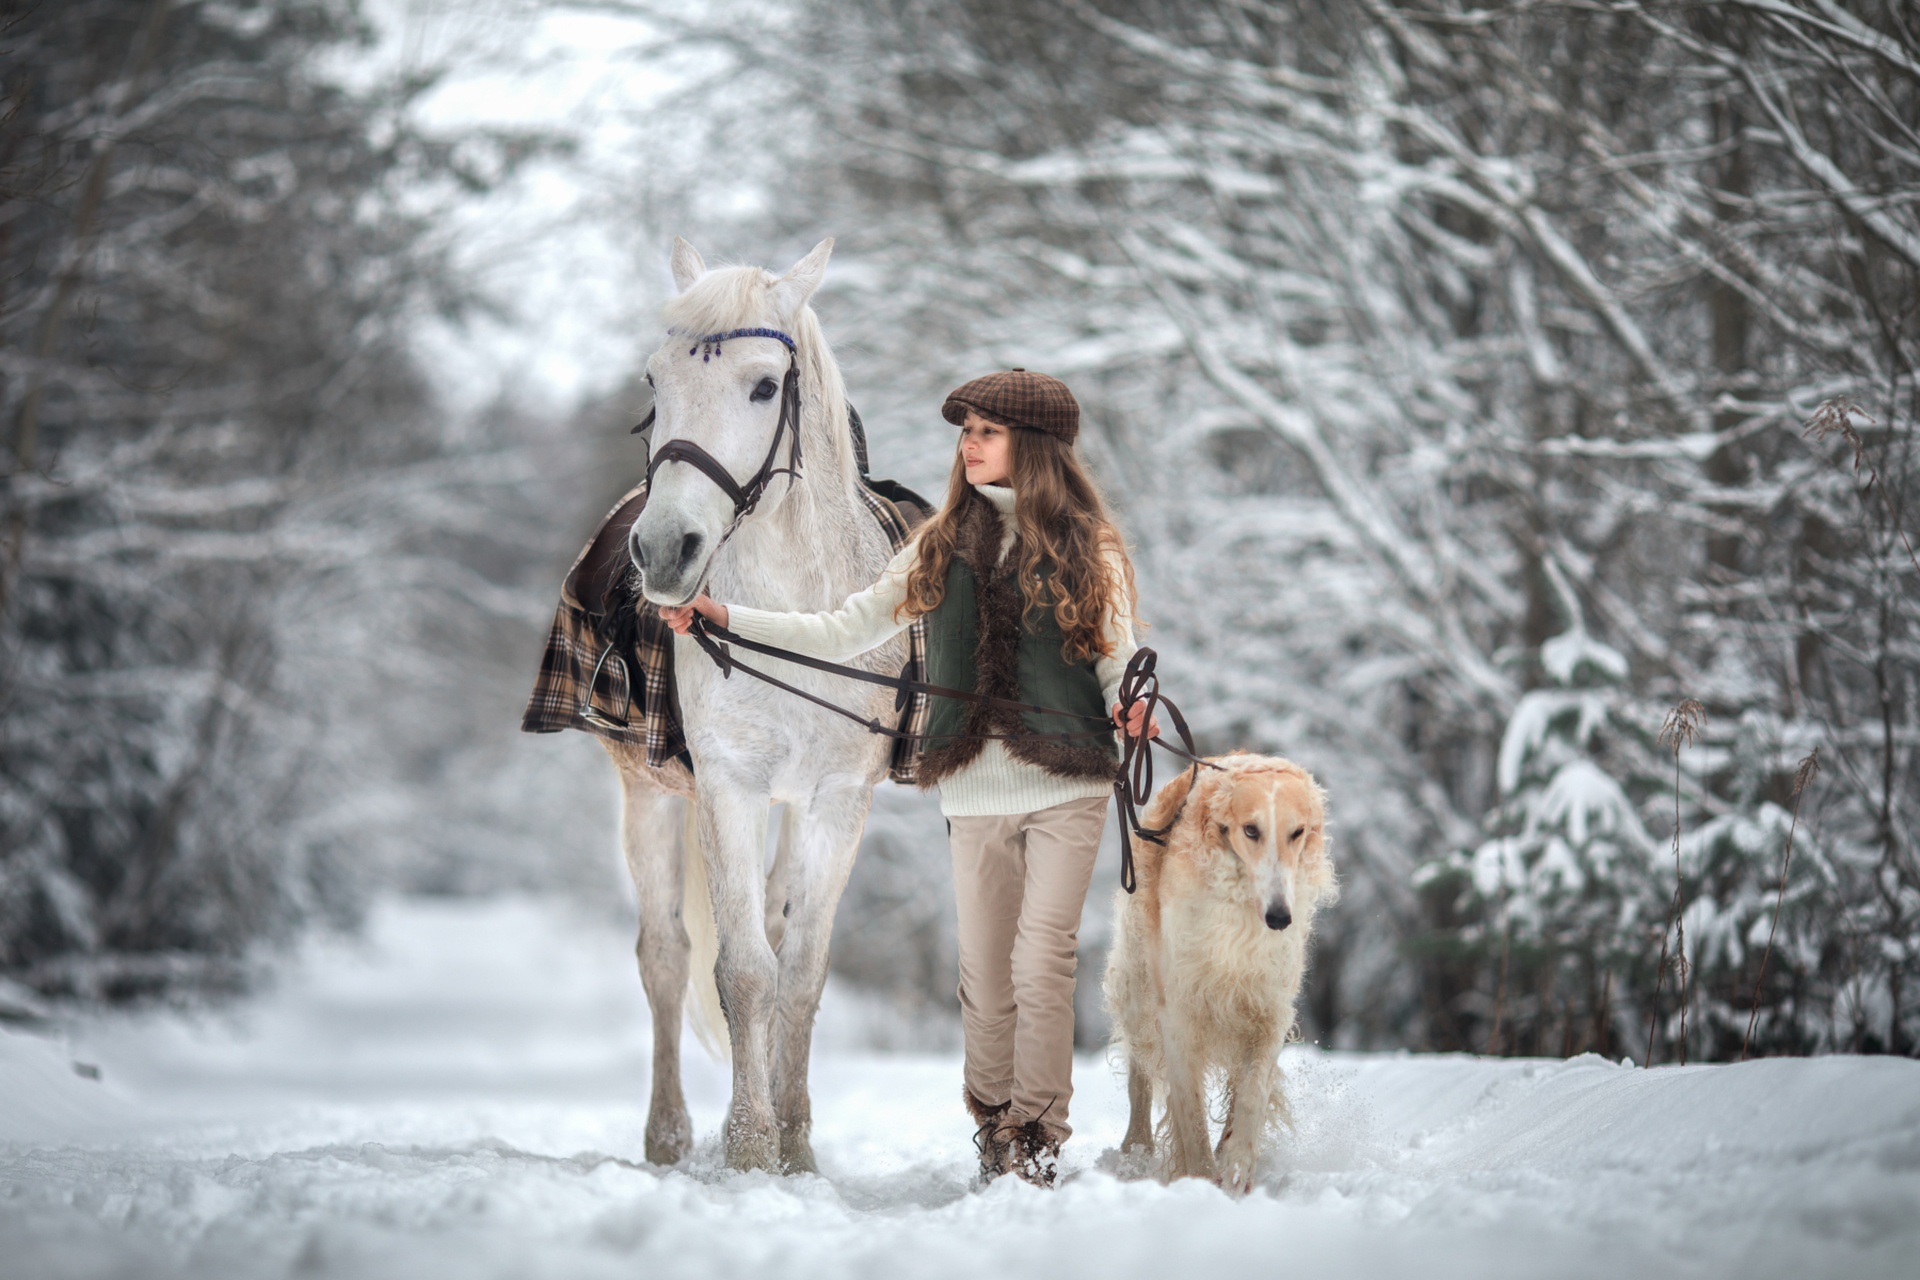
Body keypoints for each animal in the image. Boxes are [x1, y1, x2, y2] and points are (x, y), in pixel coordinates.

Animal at [618, 235, 910, 1174]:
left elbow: (801, 971)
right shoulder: (728, 787)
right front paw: (748, 1150)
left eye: (763, 386)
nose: (663, 549)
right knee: (665, 956)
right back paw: (670, 1136)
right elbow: (743, 971)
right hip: (644, 791)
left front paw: (795, 1145)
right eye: (655, 380)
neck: (794, 620)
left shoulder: (836, 800)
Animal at [1105, 752, 1328, 1189]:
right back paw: (1135, 1152)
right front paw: (1202, 1182)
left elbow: (1252, 1096)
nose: (1280, 918)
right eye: (1251, 830)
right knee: (1139, 1073)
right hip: (1138, 984)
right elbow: (1190, 1115)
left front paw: (1237, 1167)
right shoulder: (1179, 1010)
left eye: (1297, 832)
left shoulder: (1267, 1008)